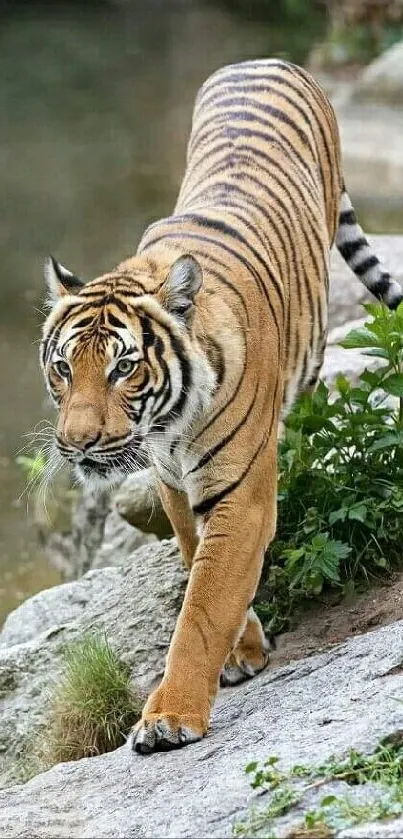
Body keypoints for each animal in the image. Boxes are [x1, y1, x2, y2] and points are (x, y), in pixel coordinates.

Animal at [39, 59, 402, 756]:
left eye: (123, 368)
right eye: (64, 368)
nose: (77, 444)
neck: (169, 426)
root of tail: (264, 60)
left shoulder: (241, 492)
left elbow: (203, 605)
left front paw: (169, 716)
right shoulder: (173, 485)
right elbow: (197, 562)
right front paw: (244, 649)